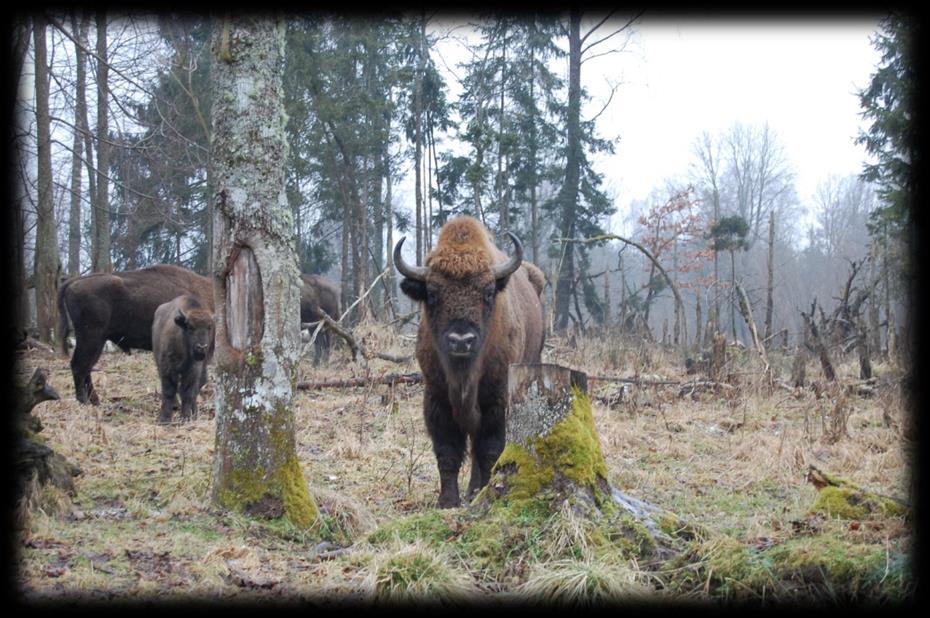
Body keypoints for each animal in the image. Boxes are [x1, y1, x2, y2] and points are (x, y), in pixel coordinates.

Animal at [56, 262, 212, 402]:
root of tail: (75, 281)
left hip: (97, 341)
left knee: (86, 367)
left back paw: (94, 400)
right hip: (91, 337)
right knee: (79, 365)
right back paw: (84, 400)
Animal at [152, 294, 214, 424]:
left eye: (209, 327)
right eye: (190, 327)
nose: (201, 347)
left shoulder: (193, 371)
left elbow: (188, 393)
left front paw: (186, 418)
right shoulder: (167, 369)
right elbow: (169, 392)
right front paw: (164, 419)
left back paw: (194, 414)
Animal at [396, 215, 548, 506]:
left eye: (488, 293)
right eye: (432, 293)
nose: (461, 340)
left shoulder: (496, 401)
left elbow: (488, 450)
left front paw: (481, 495)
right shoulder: (437, 398)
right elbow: (447, 452)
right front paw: (447, 502)